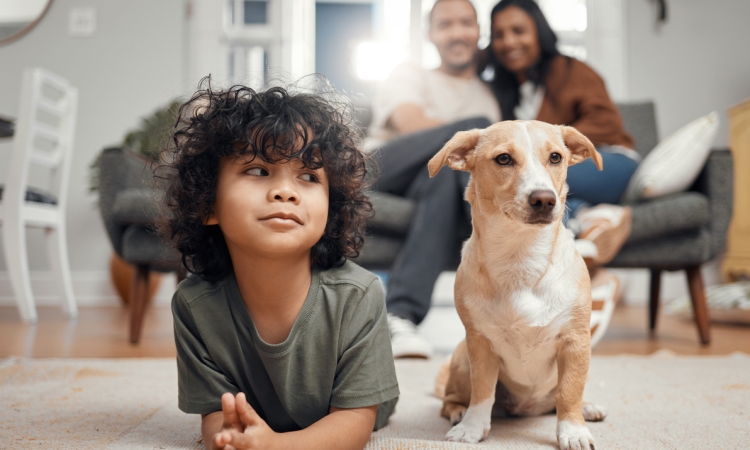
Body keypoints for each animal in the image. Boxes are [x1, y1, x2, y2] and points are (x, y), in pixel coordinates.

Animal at [432, 120, 608, 450]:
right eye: (503, 159)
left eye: (555, 157)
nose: (544, 199)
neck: (521, 258)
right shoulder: (480, 343)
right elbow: (482, 391)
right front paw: (471, 427)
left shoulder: (576, 342)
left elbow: (569, 391)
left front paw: (572, 430)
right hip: (461, 360)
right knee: (450, 399)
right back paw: (458, 412)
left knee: (563, 397)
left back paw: (588, 407)